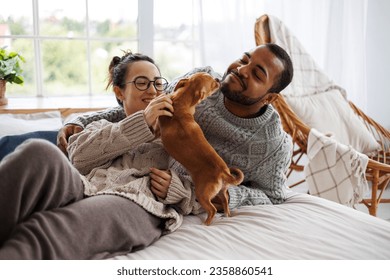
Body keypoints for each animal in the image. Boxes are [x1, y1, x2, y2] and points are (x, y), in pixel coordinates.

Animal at [158, 72, 244, 225]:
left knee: (212, 210)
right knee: (226, 202)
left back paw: (206, 223)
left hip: (202, 194)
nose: (218, 79)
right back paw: (227, 215)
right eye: (213, 82)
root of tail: (223, 172)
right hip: (222, 192)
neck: (181, 102)